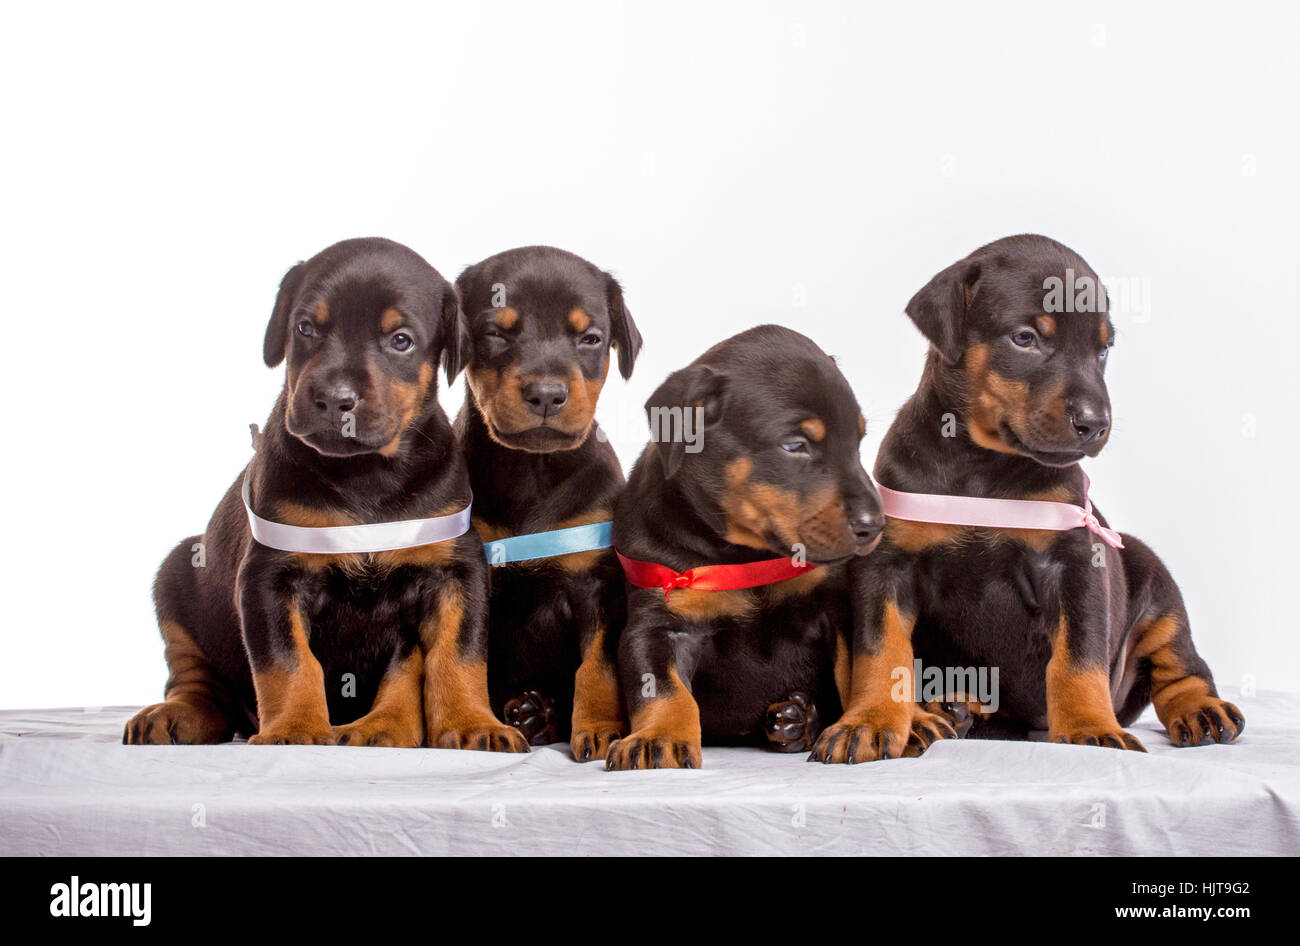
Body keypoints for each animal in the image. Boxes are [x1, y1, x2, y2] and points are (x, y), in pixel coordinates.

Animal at [122, 237, 527, 753]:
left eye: (401, 340)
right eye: (305, 328)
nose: (336, 399)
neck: (365, 474)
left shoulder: (453, 570)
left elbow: (455, 655)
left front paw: (472, 722)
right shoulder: (271, 575)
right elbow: (287, 661)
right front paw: (294, 728)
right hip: (177, 576)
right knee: (196, 680)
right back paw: (178, 715)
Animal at [452, 245, 644, 758]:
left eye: (591, 338)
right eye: (495, 334)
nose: (546, 394)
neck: (532, 472)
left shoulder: (597, 583)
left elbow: (597, 666)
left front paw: (600, 728)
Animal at [608, 324, 894, 769]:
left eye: (859, 441)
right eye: (794, 445)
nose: (874, 524)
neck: (744, 554)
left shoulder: (836, 607)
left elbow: (856, 670)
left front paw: (859, 725)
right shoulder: (659, 620)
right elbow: (661, 688)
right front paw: (658, 737)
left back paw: (799, 719)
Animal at [811, 236, 1248, 758]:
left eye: (1103, 349)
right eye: (1024, 338)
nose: (1095, 423)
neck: (982, 467)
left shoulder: (1075, 562)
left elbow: (1078, 657)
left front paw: (1088, 727)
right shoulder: (888, 565)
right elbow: (881, 651)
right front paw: (870, 721)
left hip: (1152, 579)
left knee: (1180, 664)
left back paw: (1201, 708)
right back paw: (948, 708)